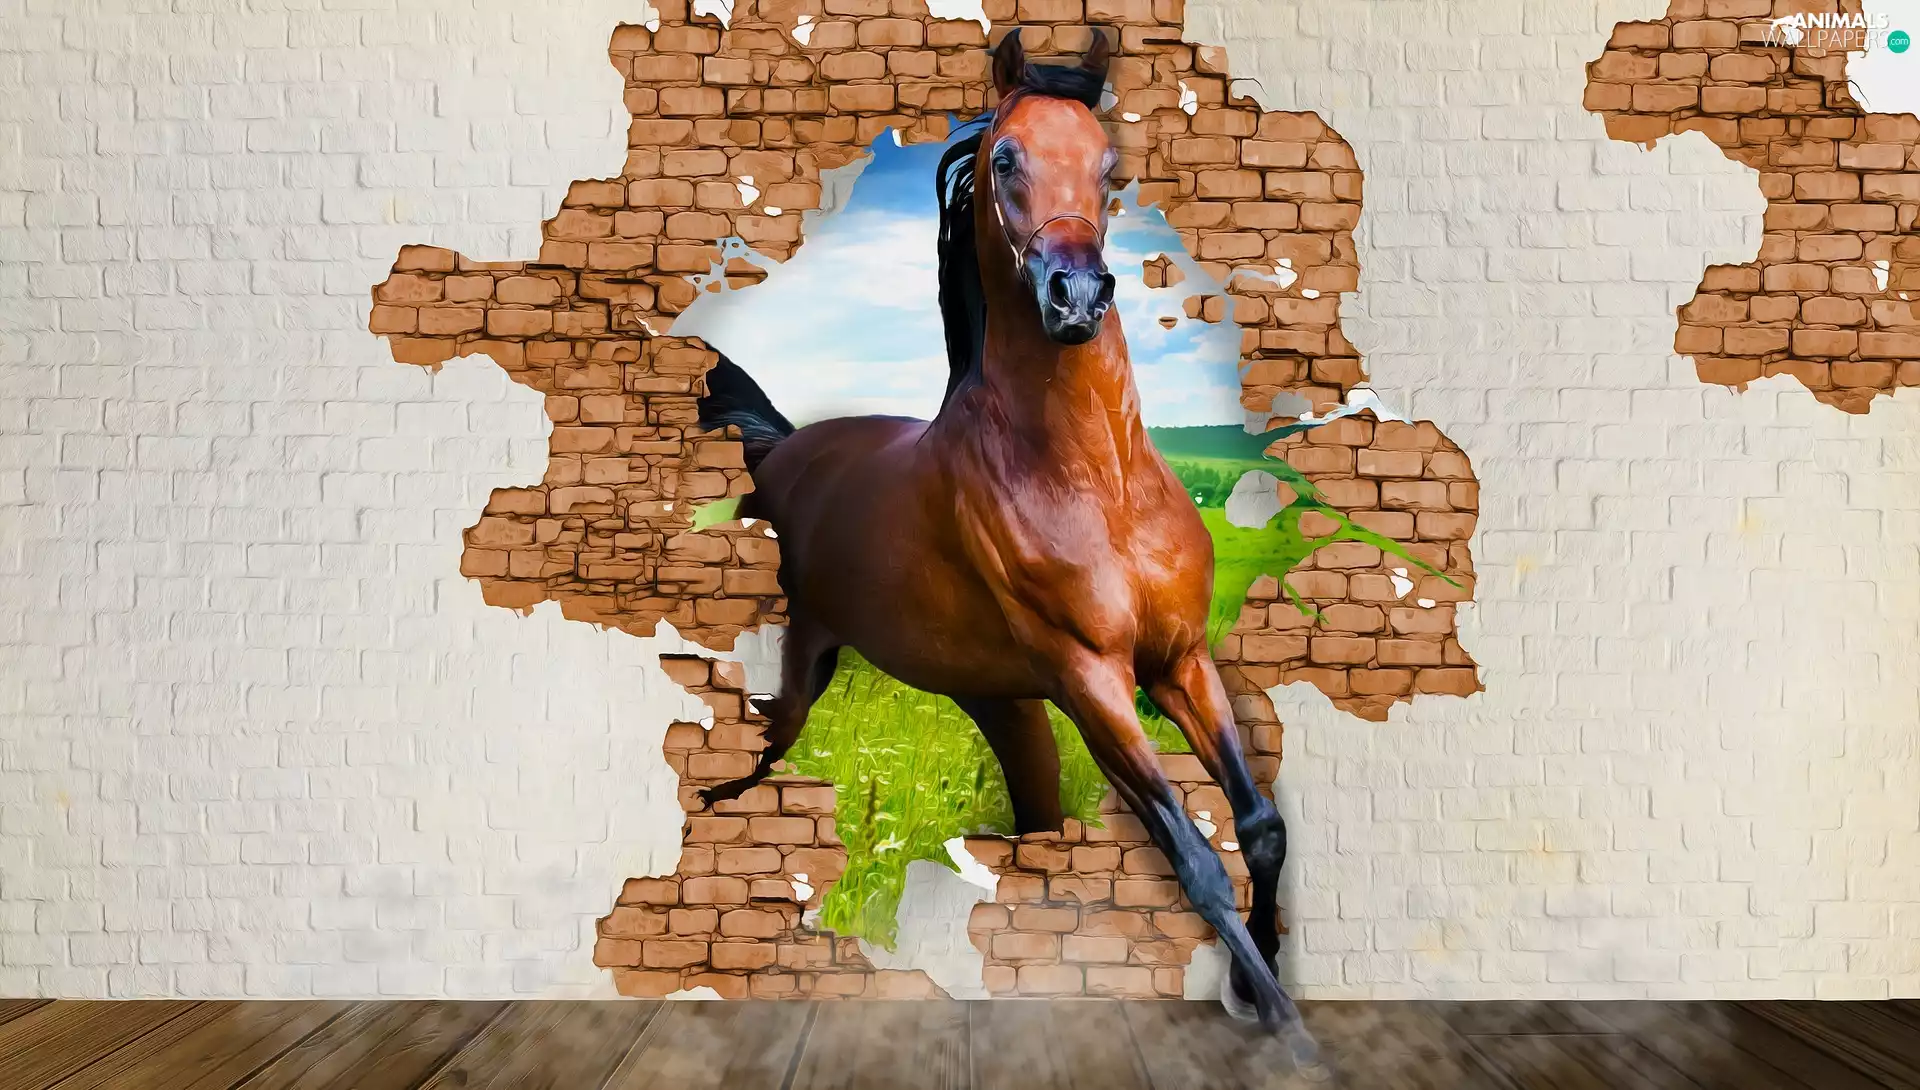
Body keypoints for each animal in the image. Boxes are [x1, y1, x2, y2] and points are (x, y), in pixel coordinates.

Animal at [694, 31, 1318, 1059]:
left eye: (1108, 165)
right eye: (1006, 160)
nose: (1078, 296)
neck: (1096, 482)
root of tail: (782, 448)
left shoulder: (1180, 659)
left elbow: (1260, 825)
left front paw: (1252, 975)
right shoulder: (1092, 679)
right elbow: (1193, 857)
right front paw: (1282, 1021)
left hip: (1004, 707)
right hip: (808, 671)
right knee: (754, 759)